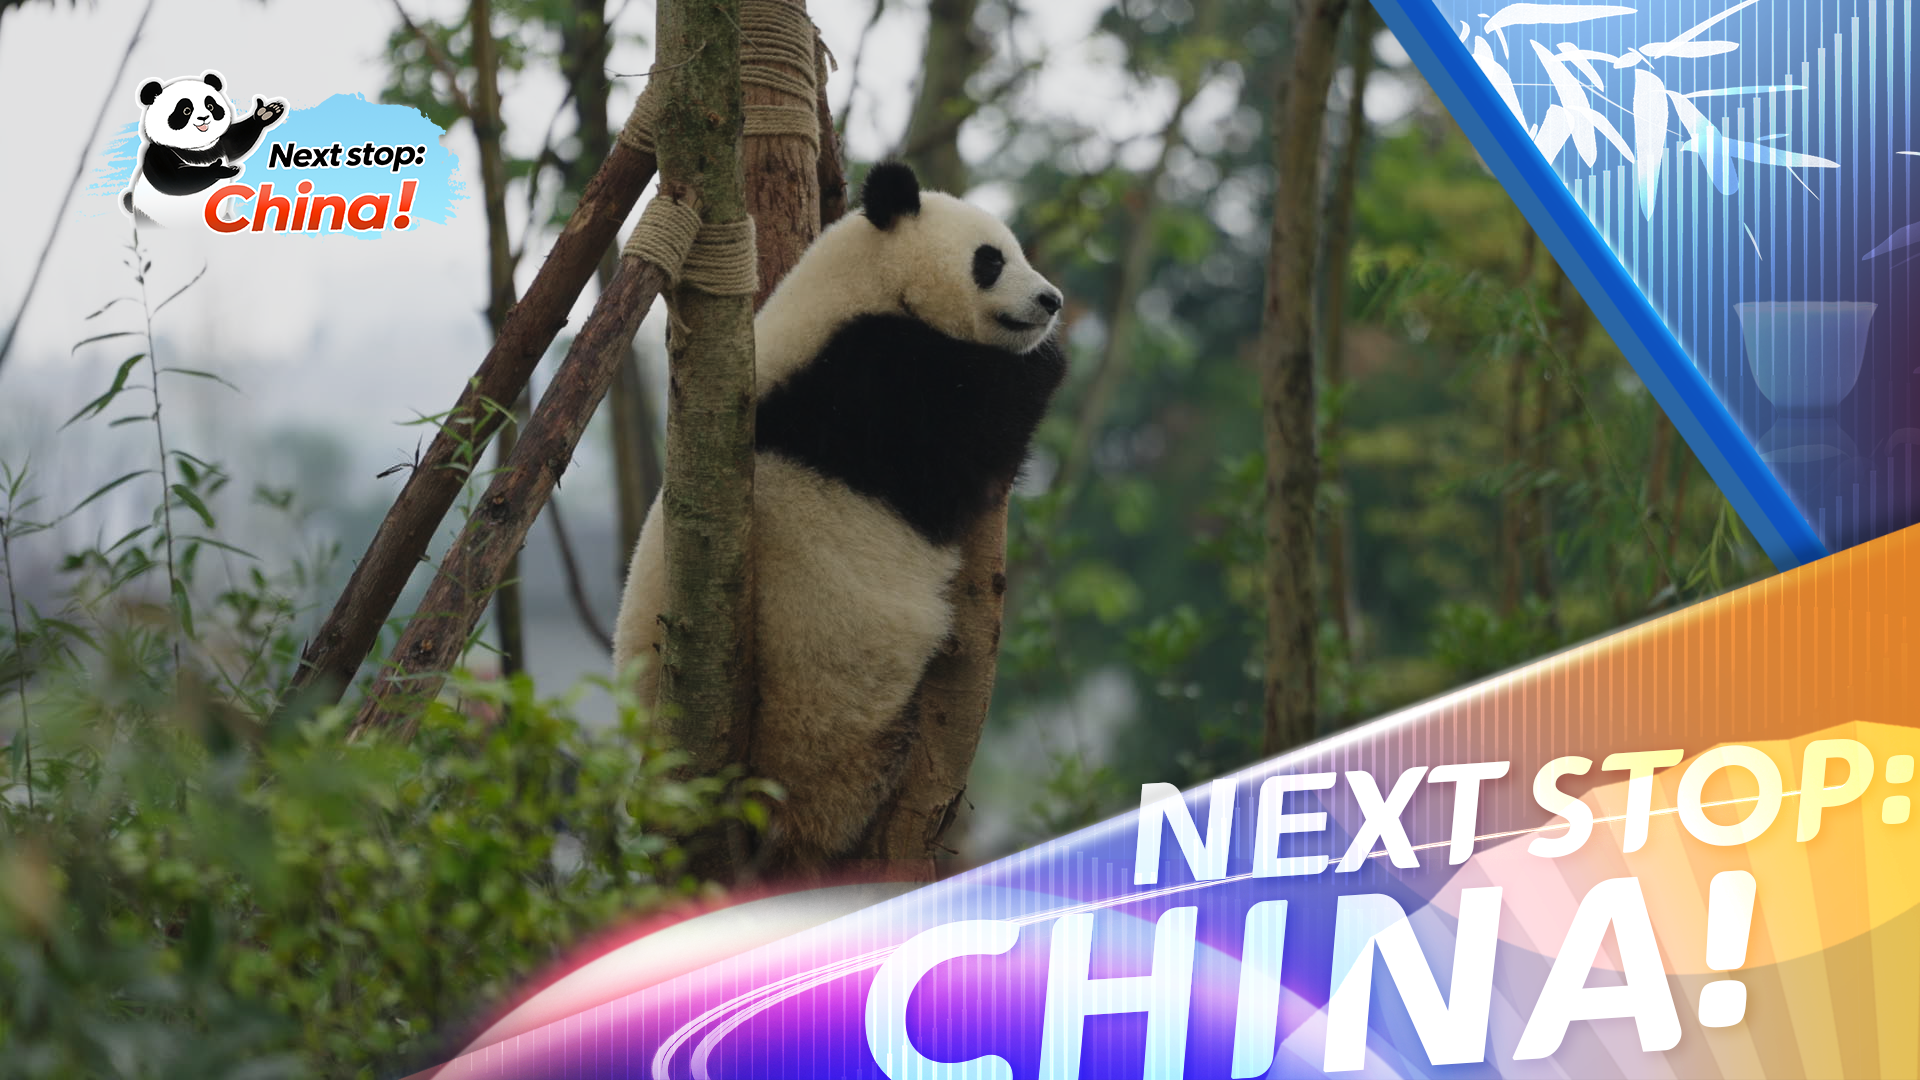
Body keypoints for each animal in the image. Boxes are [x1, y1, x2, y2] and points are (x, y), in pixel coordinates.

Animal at [121, 70, 286, 229]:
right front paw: (220, 169)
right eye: (186, 110)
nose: (204, 117)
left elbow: (237, 141)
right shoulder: (160, 153)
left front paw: (266, 113)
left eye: (211, 106)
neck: (197, 148)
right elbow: (175, 180)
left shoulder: (219, 144)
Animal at [612, 162, 1067, 869]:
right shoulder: (862, 383)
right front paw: (1043, 364)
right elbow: (958, 440)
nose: (1051, 302)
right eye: (991, 260)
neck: (860, 284)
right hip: (825, 724)